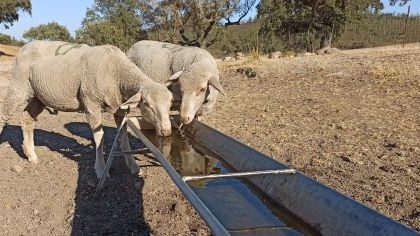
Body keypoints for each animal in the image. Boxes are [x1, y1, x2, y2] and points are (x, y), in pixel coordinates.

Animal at [0, 43, 179, 177]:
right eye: (147, 104)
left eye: (171, 102)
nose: (166, 131)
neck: (116, 71)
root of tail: (25, 46)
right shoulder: (91, 103)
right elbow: (99, 137)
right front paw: (100, 170)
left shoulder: (120, 109)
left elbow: (123, 136)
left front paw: (134, 167)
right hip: (19, 87)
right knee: (4, 114)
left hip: (39, 96)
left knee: (27, 118)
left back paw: (31, 155)